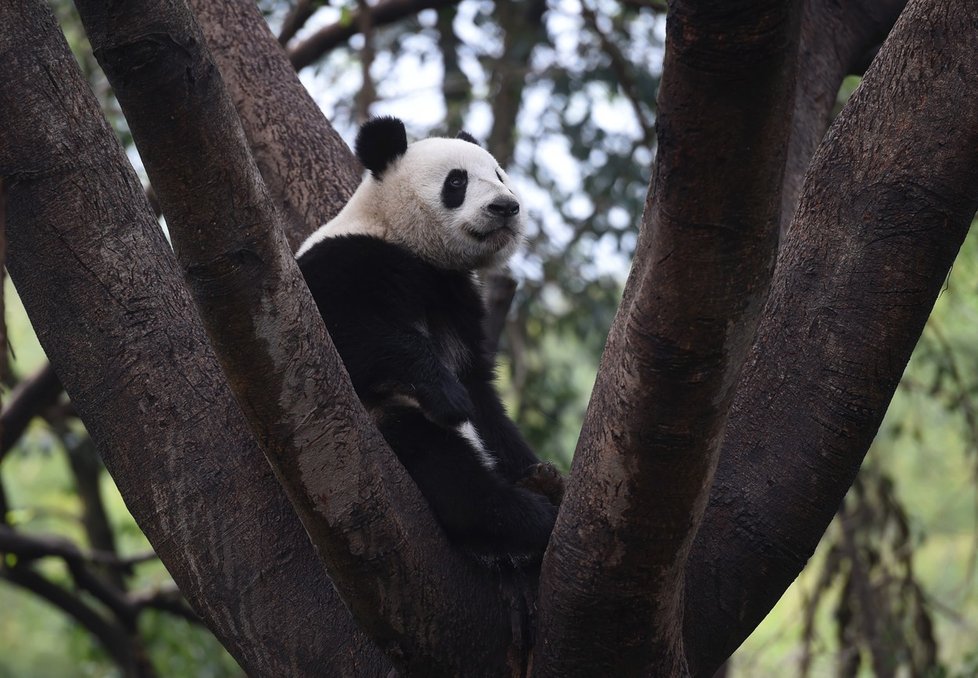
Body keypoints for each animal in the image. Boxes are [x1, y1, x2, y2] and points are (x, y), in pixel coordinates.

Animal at [296, 118, 556, 564]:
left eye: (499, 175)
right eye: (457, 181)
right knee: (445, 467)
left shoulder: (456, 299)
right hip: (385, 422)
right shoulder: (348, 260)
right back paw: (526, 520)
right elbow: (344, 334)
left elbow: (484, 400)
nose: (506, 207)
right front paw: (449, 396)